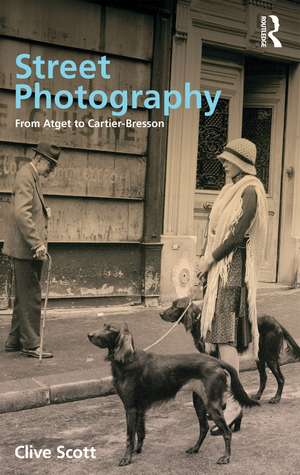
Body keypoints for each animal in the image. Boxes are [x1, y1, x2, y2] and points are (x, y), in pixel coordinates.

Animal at [87, 322, 258, 466]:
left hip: (212, 404)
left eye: (110, 329)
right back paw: (194, 448)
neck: (127, 360)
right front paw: (137, 451)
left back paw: (226, 457)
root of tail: (217, 362)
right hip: (199, 402)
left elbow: (129, 436)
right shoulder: (139, 409)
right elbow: (140, 432)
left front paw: (126, 458)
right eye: (103, 325)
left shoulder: (130, 408)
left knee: (226, 432)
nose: (89, 334)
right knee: (203, 428)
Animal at [161, 298, 300, 406]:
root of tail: (276, 322)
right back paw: (257, 396)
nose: (160, 313)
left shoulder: (213, 355)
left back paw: (276, 398)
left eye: (174, 306)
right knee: (264, 378)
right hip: (260, 357)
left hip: (270, 357)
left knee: (280, 379)